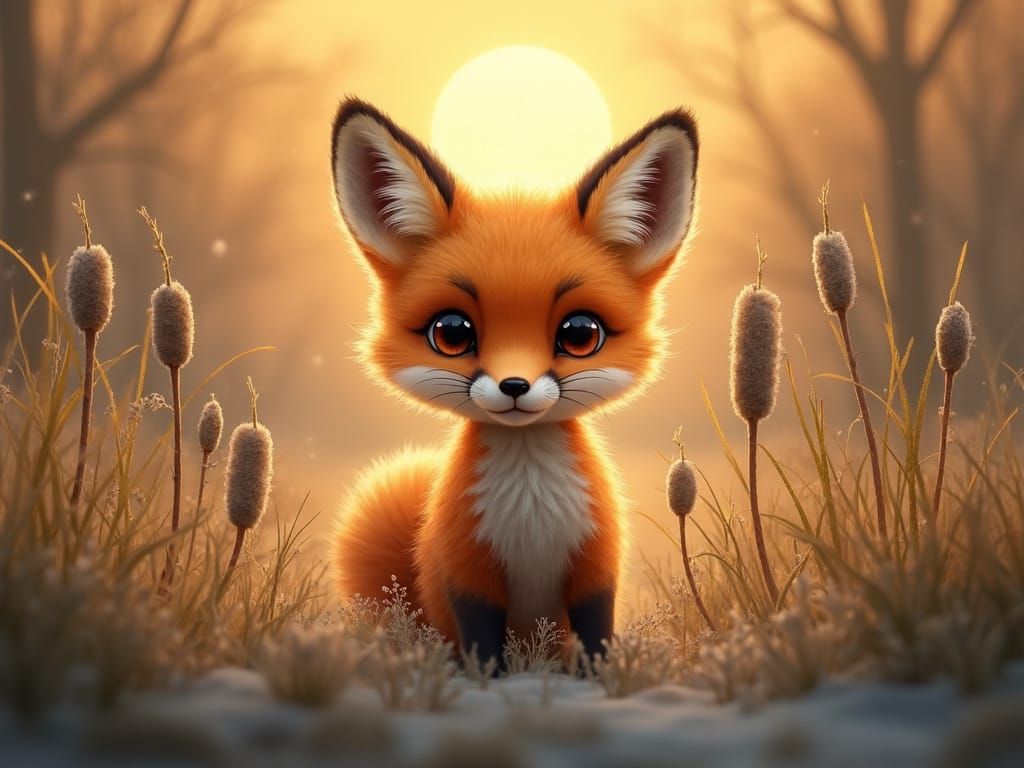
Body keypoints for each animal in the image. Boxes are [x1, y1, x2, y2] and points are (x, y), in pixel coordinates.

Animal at [330, 97, 699, 665]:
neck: (531, 511)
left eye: (580, 333)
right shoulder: (468, 573)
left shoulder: (596, 566)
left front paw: (599, 675)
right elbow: (483, 644)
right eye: (452, 332)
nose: (515, 386)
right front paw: (489, 678)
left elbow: (597, 634)